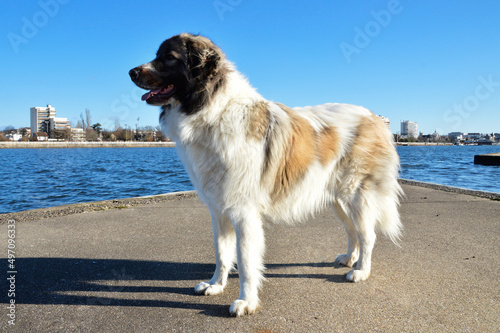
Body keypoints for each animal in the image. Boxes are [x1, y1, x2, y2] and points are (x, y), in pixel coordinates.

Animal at [129, 33, 402, 316]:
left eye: (169, 57)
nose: (131, 72)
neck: (214, 110)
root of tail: (376, 118)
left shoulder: (243, 212)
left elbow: (246, 261)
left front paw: (246, 302)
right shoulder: (219, 210)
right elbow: (221, 252)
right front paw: (215, 285)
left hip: (357, 194)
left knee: (367, 234)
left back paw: (361, 271)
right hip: (337, 199)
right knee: (352, 230)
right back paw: (350, 258)